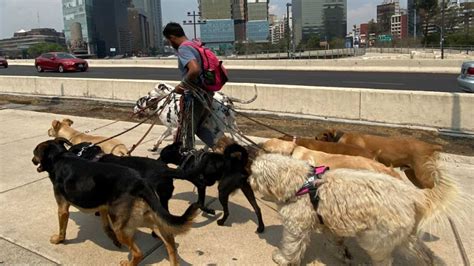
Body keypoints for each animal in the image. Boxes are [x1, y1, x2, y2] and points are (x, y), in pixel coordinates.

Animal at [31, 138, 198, 264]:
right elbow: (106, 227)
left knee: (138, 253)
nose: (32, 160)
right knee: (169, 241)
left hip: (124, 225)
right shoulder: (105, 208)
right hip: (146, 216)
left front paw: (58, 240)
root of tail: (140, 183)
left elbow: (62, 228)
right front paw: (113, 240)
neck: (60, 157)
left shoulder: (63, 208)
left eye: (35, 153)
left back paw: (128, 262)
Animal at [250, 153, 462, 264]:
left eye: (254, 174)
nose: (249, 180)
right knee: (424, 253)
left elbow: (291, 245)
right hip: (403, 235)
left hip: (375, 238)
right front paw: (341, 252)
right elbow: (334, 240)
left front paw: (282, 258)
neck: (301, 182)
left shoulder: (297, 225)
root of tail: (410, 193)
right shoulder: (327, 222)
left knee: (385, 260)